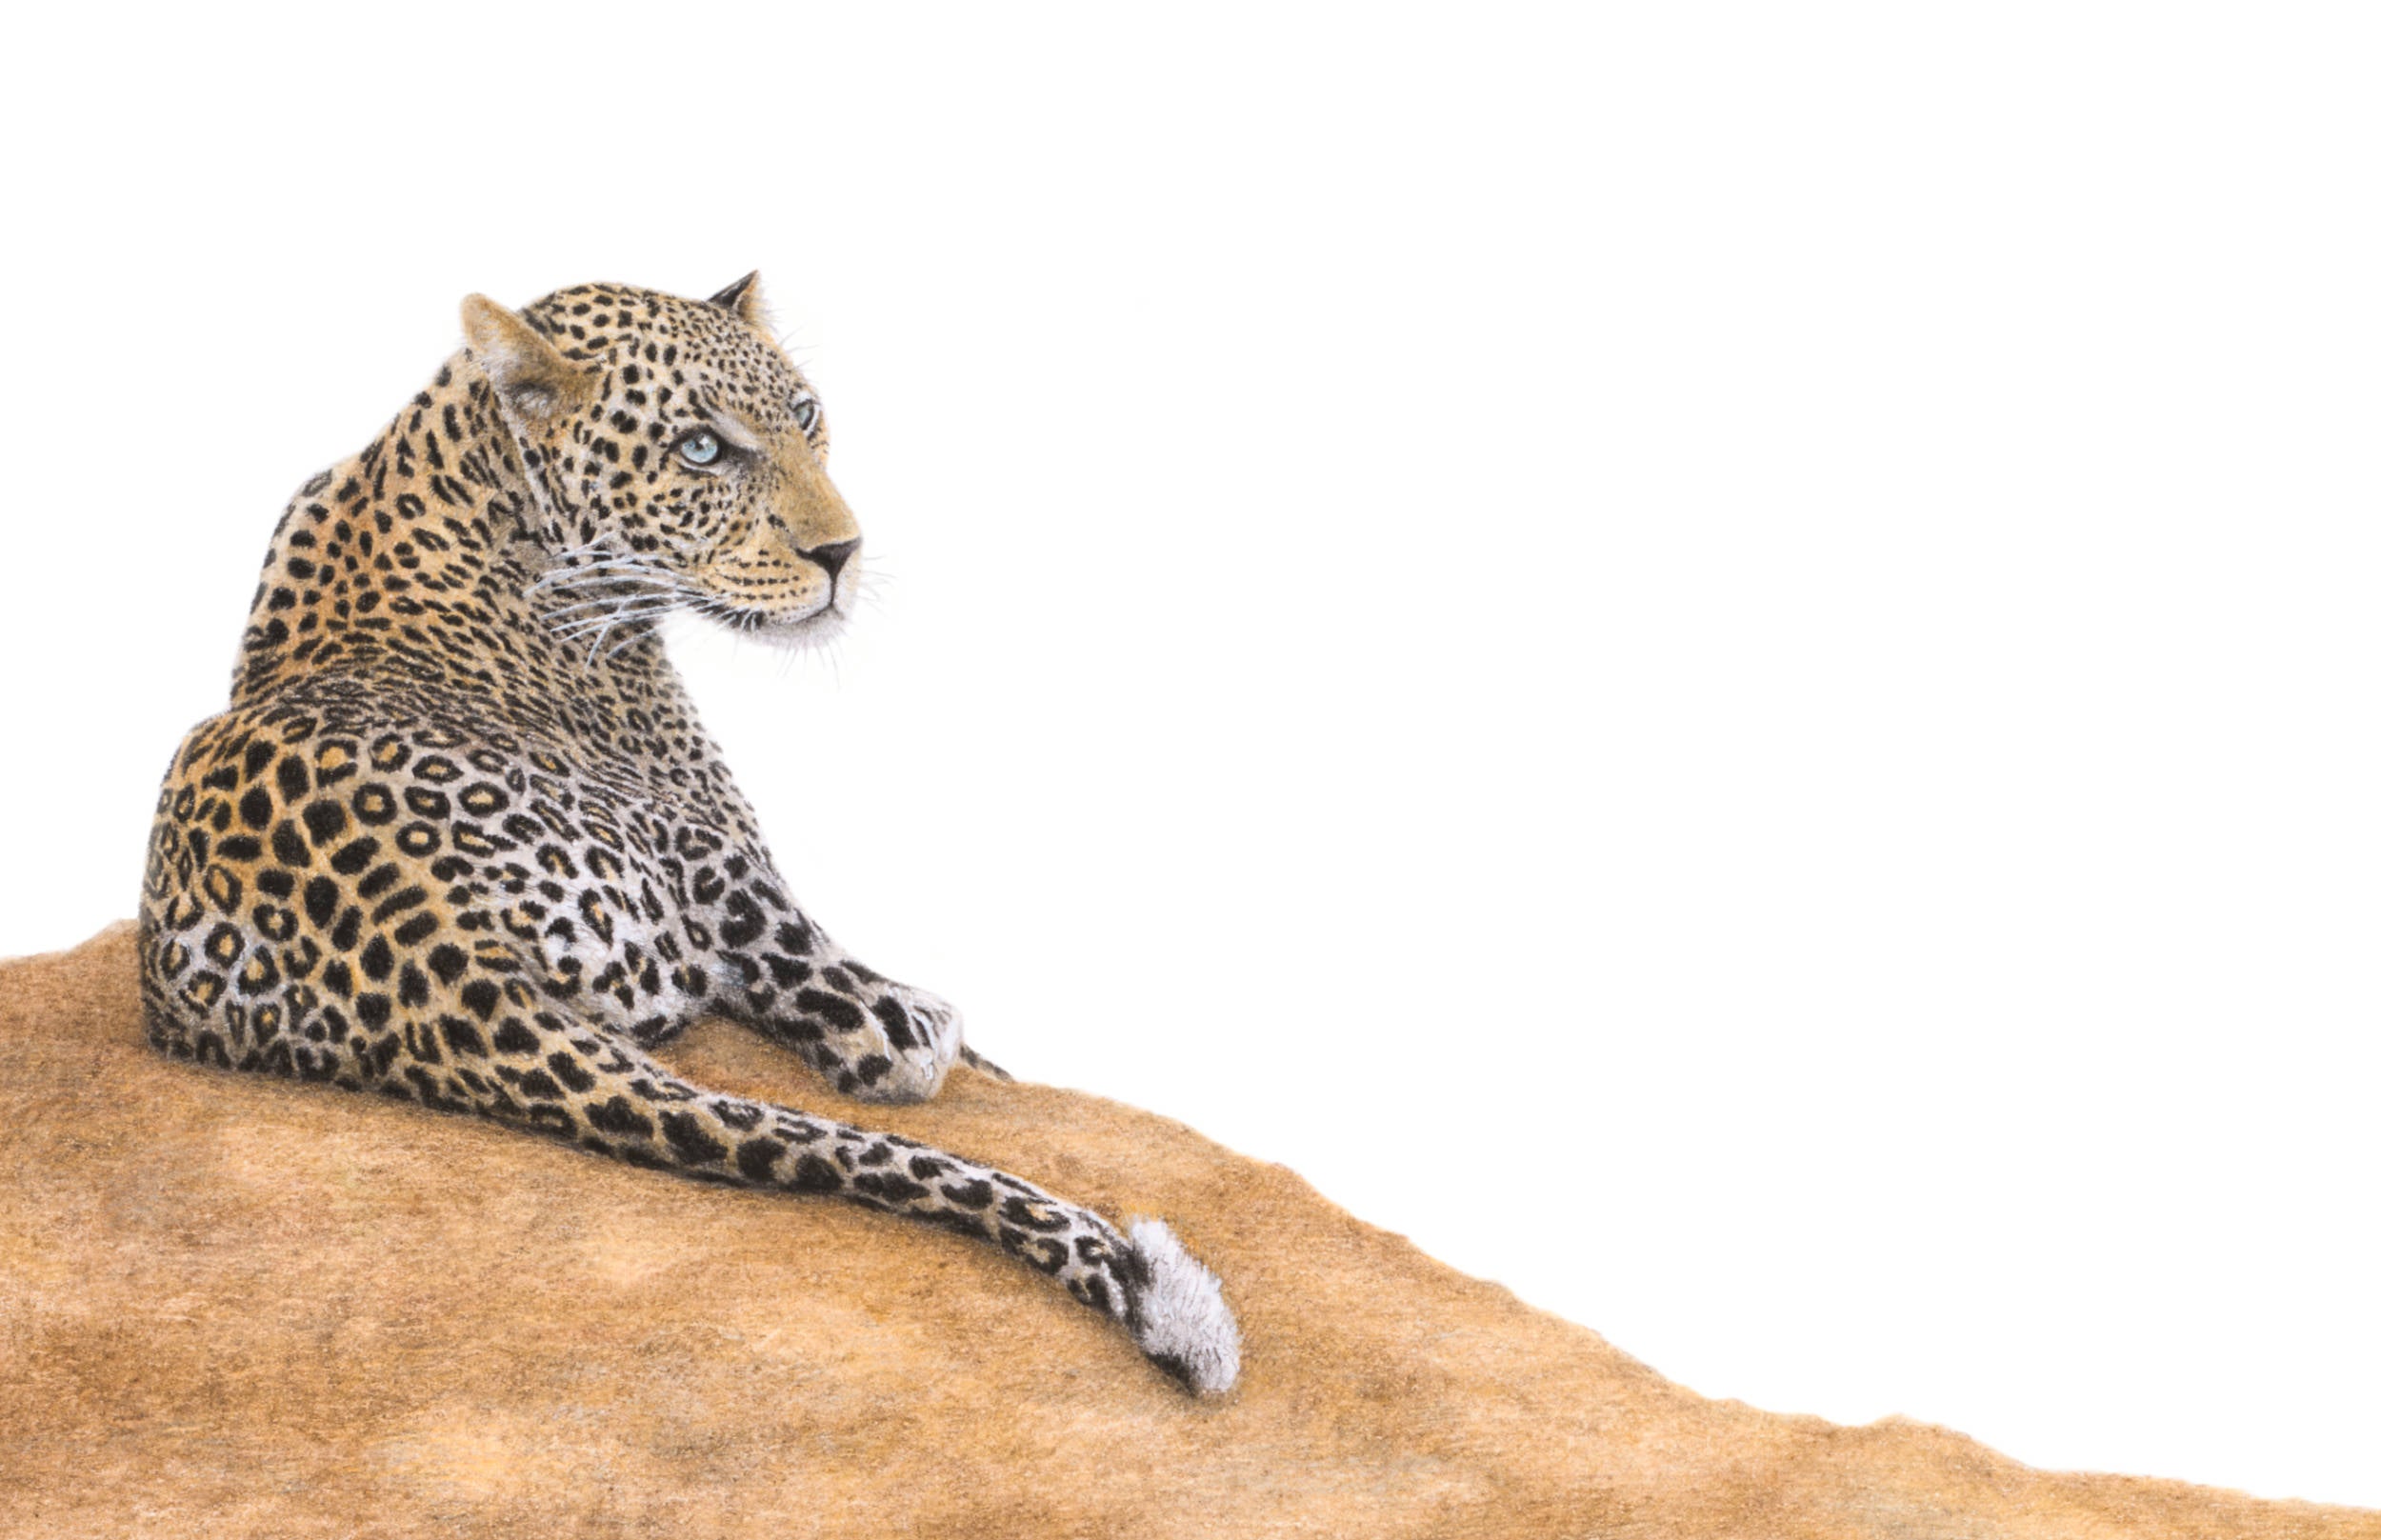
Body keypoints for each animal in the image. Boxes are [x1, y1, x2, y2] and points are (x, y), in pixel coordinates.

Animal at [136, 274, 1241, 1395]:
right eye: (702, 449)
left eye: (804, 416)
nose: (841, 554)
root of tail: (429, 957)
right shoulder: (720, 834)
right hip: (696, 864)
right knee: (859, 1030)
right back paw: (917, 1022)